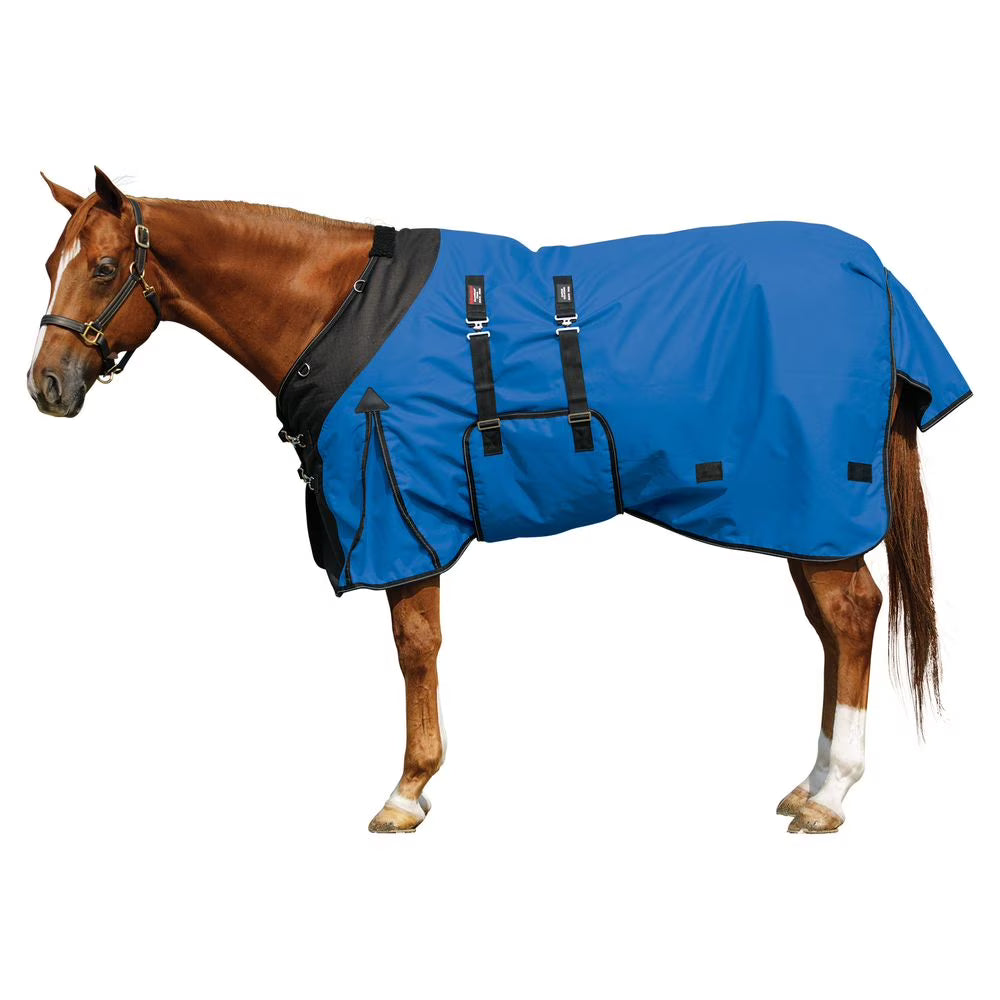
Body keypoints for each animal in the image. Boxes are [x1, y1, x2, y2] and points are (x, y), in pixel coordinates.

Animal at [28, 167, 969, 835]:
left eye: (104, 268)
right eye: (50, 264)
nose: (46, 385)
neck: (341, 305)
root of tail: (872, 271)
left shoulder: (402, 510)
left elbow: (416, 648)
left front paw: (407, 790)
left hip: (812, 506)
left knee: (851, 616)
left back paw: (832, 795)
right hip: (799, 518)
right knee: (833, 627)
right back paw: (811, 783)